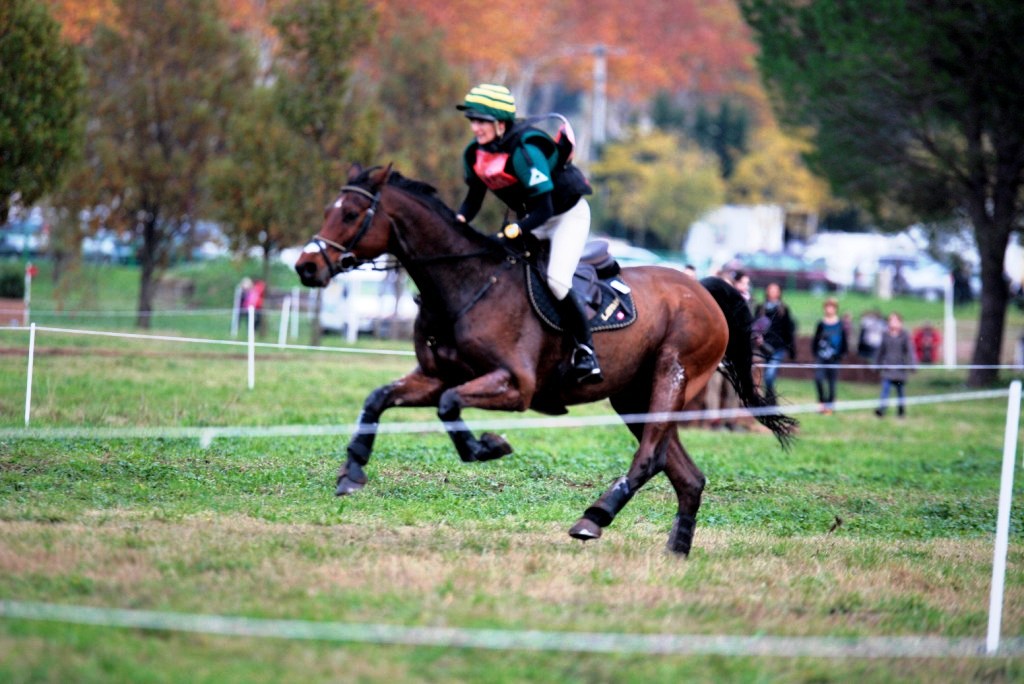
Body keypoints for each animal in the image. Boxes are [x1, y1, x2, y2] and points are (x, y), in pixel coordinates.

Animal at [292, 165, 794, 557]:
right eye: (328, 211)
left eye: (351, 214)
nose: (306, 267)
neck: (468, 282)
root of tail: (702, 288)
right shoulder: (436, 376)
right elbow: (380, 398)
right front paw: (353, 471)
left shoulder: (515, 386)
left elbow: (450, 405)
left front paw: (488, 446)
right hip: (634, 396)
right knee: (687, 475)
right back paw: (676, 551)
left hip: (673, 377)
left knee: (651, 457)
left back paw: (594, 517)